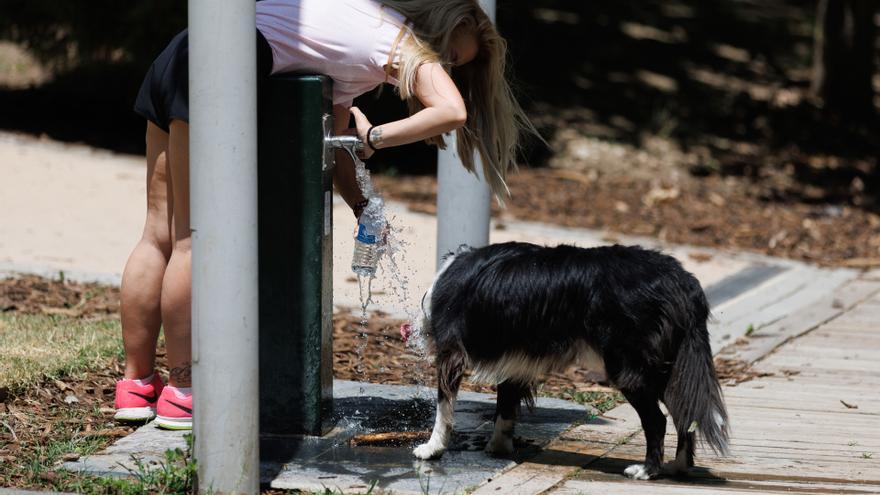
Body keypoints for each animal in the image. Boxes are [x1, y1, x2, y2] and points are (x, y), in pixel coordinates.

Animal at [412, 242, 728, 478]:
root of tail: (682, 281)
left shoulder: (451, 354)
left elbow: (443, 408)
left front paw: (431, 449)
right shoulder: (516, 361)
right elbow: (505, 406)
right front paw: (499, 446)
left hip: (628, 367)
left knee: (658, 420)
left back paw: (647, 470)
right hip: (668, 367)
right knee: (685, 412)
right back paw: (679, 466)